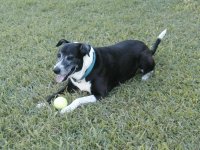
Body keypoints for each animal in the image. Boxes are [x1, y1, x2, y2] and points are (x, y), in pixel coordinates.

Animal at [37, 29, 166, 113]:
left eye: (70, 57)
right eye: (58, 55)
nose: (55, 70)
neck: (85, 71)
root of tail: (148, 48)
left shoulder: (100, 94)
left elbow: (78, 99)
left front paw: (67, 108)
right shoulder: (69, 87)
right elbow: (54, 94)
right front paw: (42, 103)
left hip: (145, 59)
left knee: (151, 69)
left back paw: (145, 76)